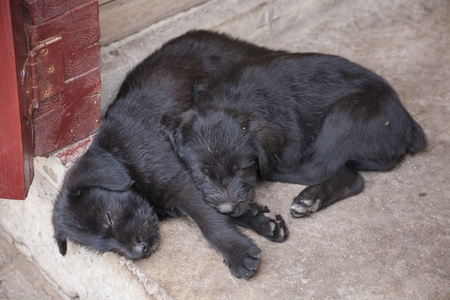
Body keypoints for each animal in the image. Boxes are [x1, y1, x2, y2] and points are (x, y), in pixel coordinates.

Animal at [51, 30, 288, 278]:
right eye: (101, 247)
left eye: (109, 218)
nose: (139, 252)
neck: (121, 157)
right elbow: (223, 208)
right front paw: (260, 220)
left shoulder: (182, 183)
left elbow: (209, 219)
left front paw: (237, 252)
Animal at [163, 52, 428, 218]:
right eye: (202, 173)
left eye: (243, 169)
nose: (227, 209)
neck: (232, 98)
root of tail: (407, 122)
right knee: (351, 176)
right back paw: (312, 200)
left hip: (345, 116)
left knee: (322, 169)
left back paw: (305, 195)